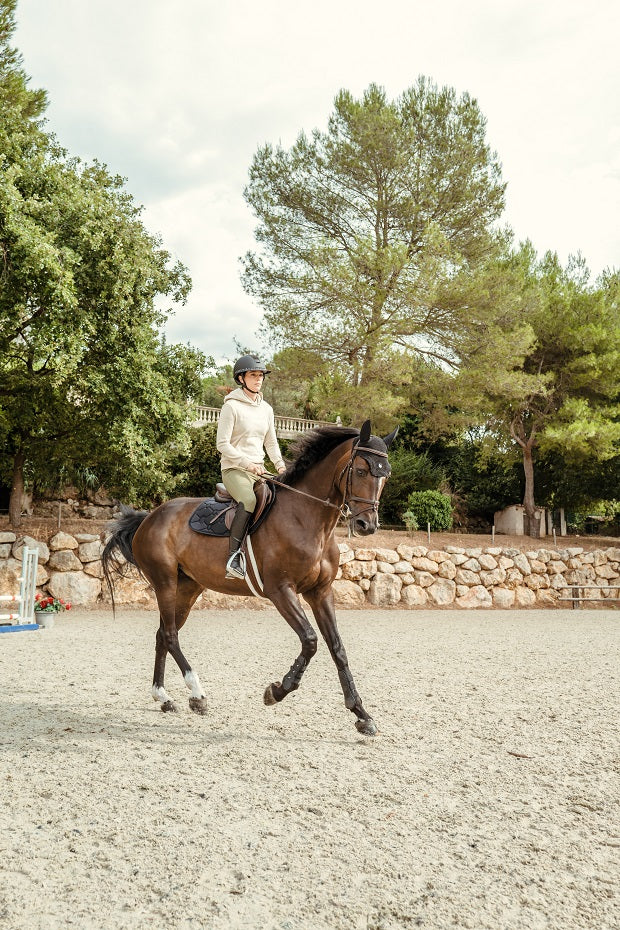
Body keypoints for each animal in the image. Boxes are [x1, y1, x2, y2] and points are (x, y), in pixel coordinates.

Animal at [102, 419, 397, 735]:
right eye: (361, 470)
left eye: (386, 475)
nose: (367, 524)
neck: (307, 519)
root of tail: (150, 517)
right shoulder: (281, 591)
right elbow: (310, 640)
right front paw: (277, 691)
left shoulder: (320, 593)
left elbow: (337, 648)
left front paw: (361, 714)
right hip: (165, 583)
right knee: (170, 635)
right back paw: (197, 694)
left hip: (187, 588)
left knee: (163, 634)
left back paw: (164, 698)